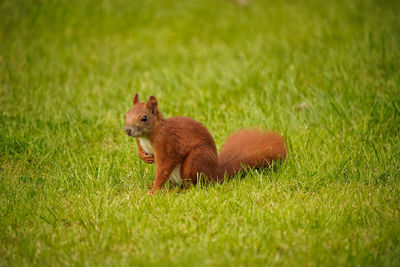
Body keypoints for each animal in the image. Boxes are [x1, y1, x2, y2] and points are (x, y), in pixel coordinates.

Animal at [123, 94, 286, 195]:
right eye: (126, 115)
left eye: (144, 118)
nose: (127, 130)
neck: (148, 136)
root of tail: (216, 172)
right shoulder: (141, 141)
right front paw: (144, 158)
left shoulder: (166, 144)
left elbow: (163, 168)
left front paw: (153, 191)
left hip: (195, 160)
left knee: (193, 186)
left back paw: (177, 191)